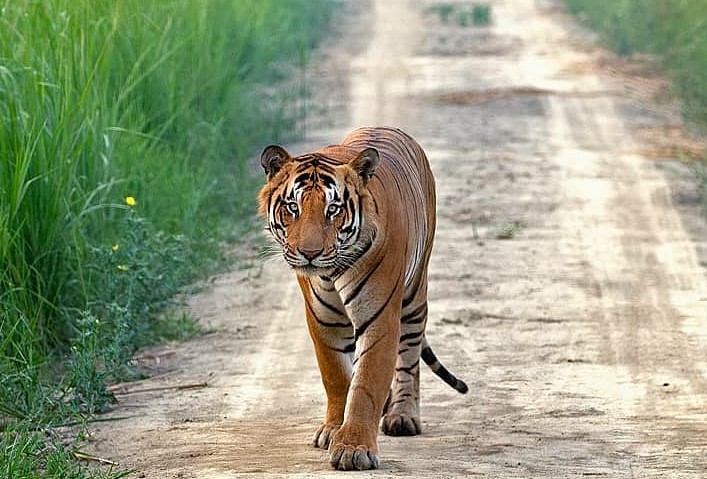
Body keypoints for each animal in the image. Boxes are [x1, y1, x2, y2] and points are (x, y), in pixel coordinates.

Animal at [257, 126, 468, 471]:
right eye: (292, 208)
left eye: (333, 209)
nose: (310, 253)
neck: (330, 272)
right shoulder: (323, 321)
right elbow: (337, 378)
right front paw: (333, 429)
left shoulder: (379, 316)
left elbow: (366, 382)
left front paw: (354, 448)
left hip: (414, 296)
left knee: (409, 358)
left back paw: (402, 415)